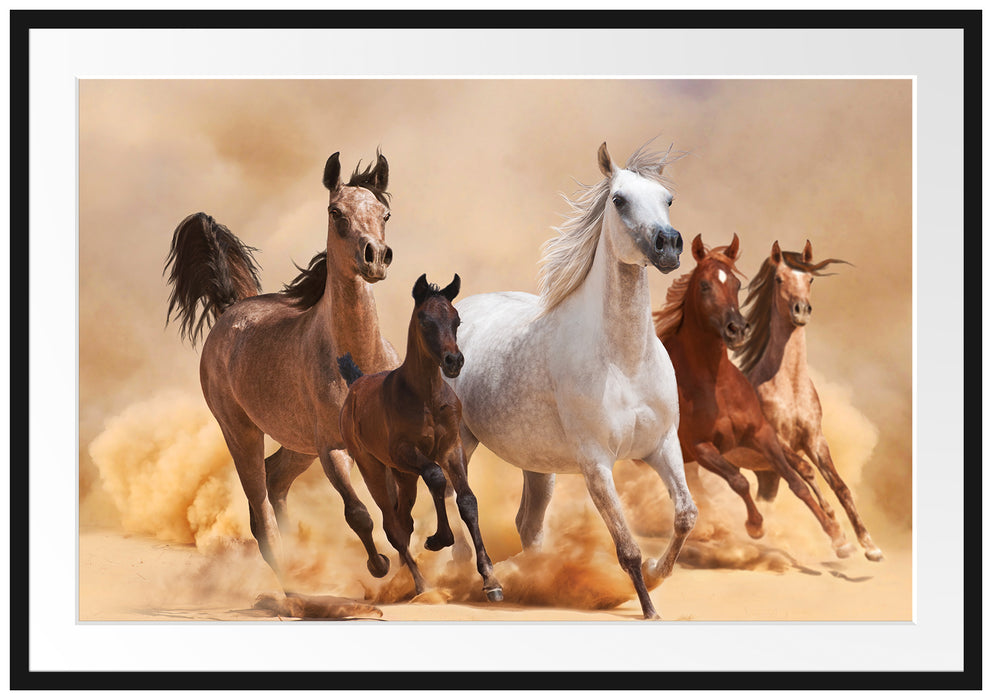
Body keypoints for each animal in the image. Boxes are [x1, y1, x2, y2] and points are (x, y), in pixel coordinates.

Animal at [163, 151, 400, 585]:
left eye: (385, 213)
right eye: (336, 212)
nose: (375, 257)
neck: (358, 360)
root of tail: (231, 309)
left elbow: (395, 510)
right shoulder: (333, 448)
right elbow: (359, 513)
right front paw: (380, 566)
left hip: (297, 445)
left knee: (275, 479)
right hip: (242, 433)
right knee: (261, 513)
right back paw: (289, 582)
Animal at [336, 274, 504, 602]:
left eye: (456, 320)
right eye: (425, 320)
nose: (454, 361)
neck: (426, 397)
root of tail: (356, 383)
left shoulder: (452, 447)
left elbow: (467, 501)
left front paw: (491, 579)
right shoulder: (405, 451)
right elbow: (436, 477)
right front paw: (439, 539)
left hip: (404, 476)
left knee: (404, 520)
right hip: (374, 467)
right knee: (392, 525)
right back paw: (418, 583)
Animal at [445, 141, 697, 620]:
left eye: (669, 199)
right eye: (618, 199)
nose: (669, 245)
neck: (624, 362)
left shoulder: (662, 445)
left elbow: (685, 515)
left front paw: (659, 573)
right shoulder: (596, 463)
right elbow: (627, 547)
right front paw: (649, 608)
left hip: (538, 464)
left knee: (528, 524)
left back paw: (535, 581)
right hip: (461, 442)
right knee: (457, 504)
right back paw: (481, 580)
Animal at [654, 233, 855, 559]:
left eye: (737, 284)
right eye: (704, 285)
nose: (736, 329)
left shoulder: (770, 435)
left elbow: (801, 481)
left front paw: (841, 537)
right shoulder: (702, 447)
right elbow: (740, 481)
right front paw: (756, 526)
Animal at [734, 240, 883, 561]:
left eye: (811, 279)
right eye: (779, 279)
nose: (801, 310)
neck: (789, 387)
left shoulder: (815, 439)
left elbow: (840, 485)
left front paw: (869, 545)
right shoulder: (777, 441)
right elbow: (807, 471)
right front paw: (839, 536)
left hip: (766, 474)